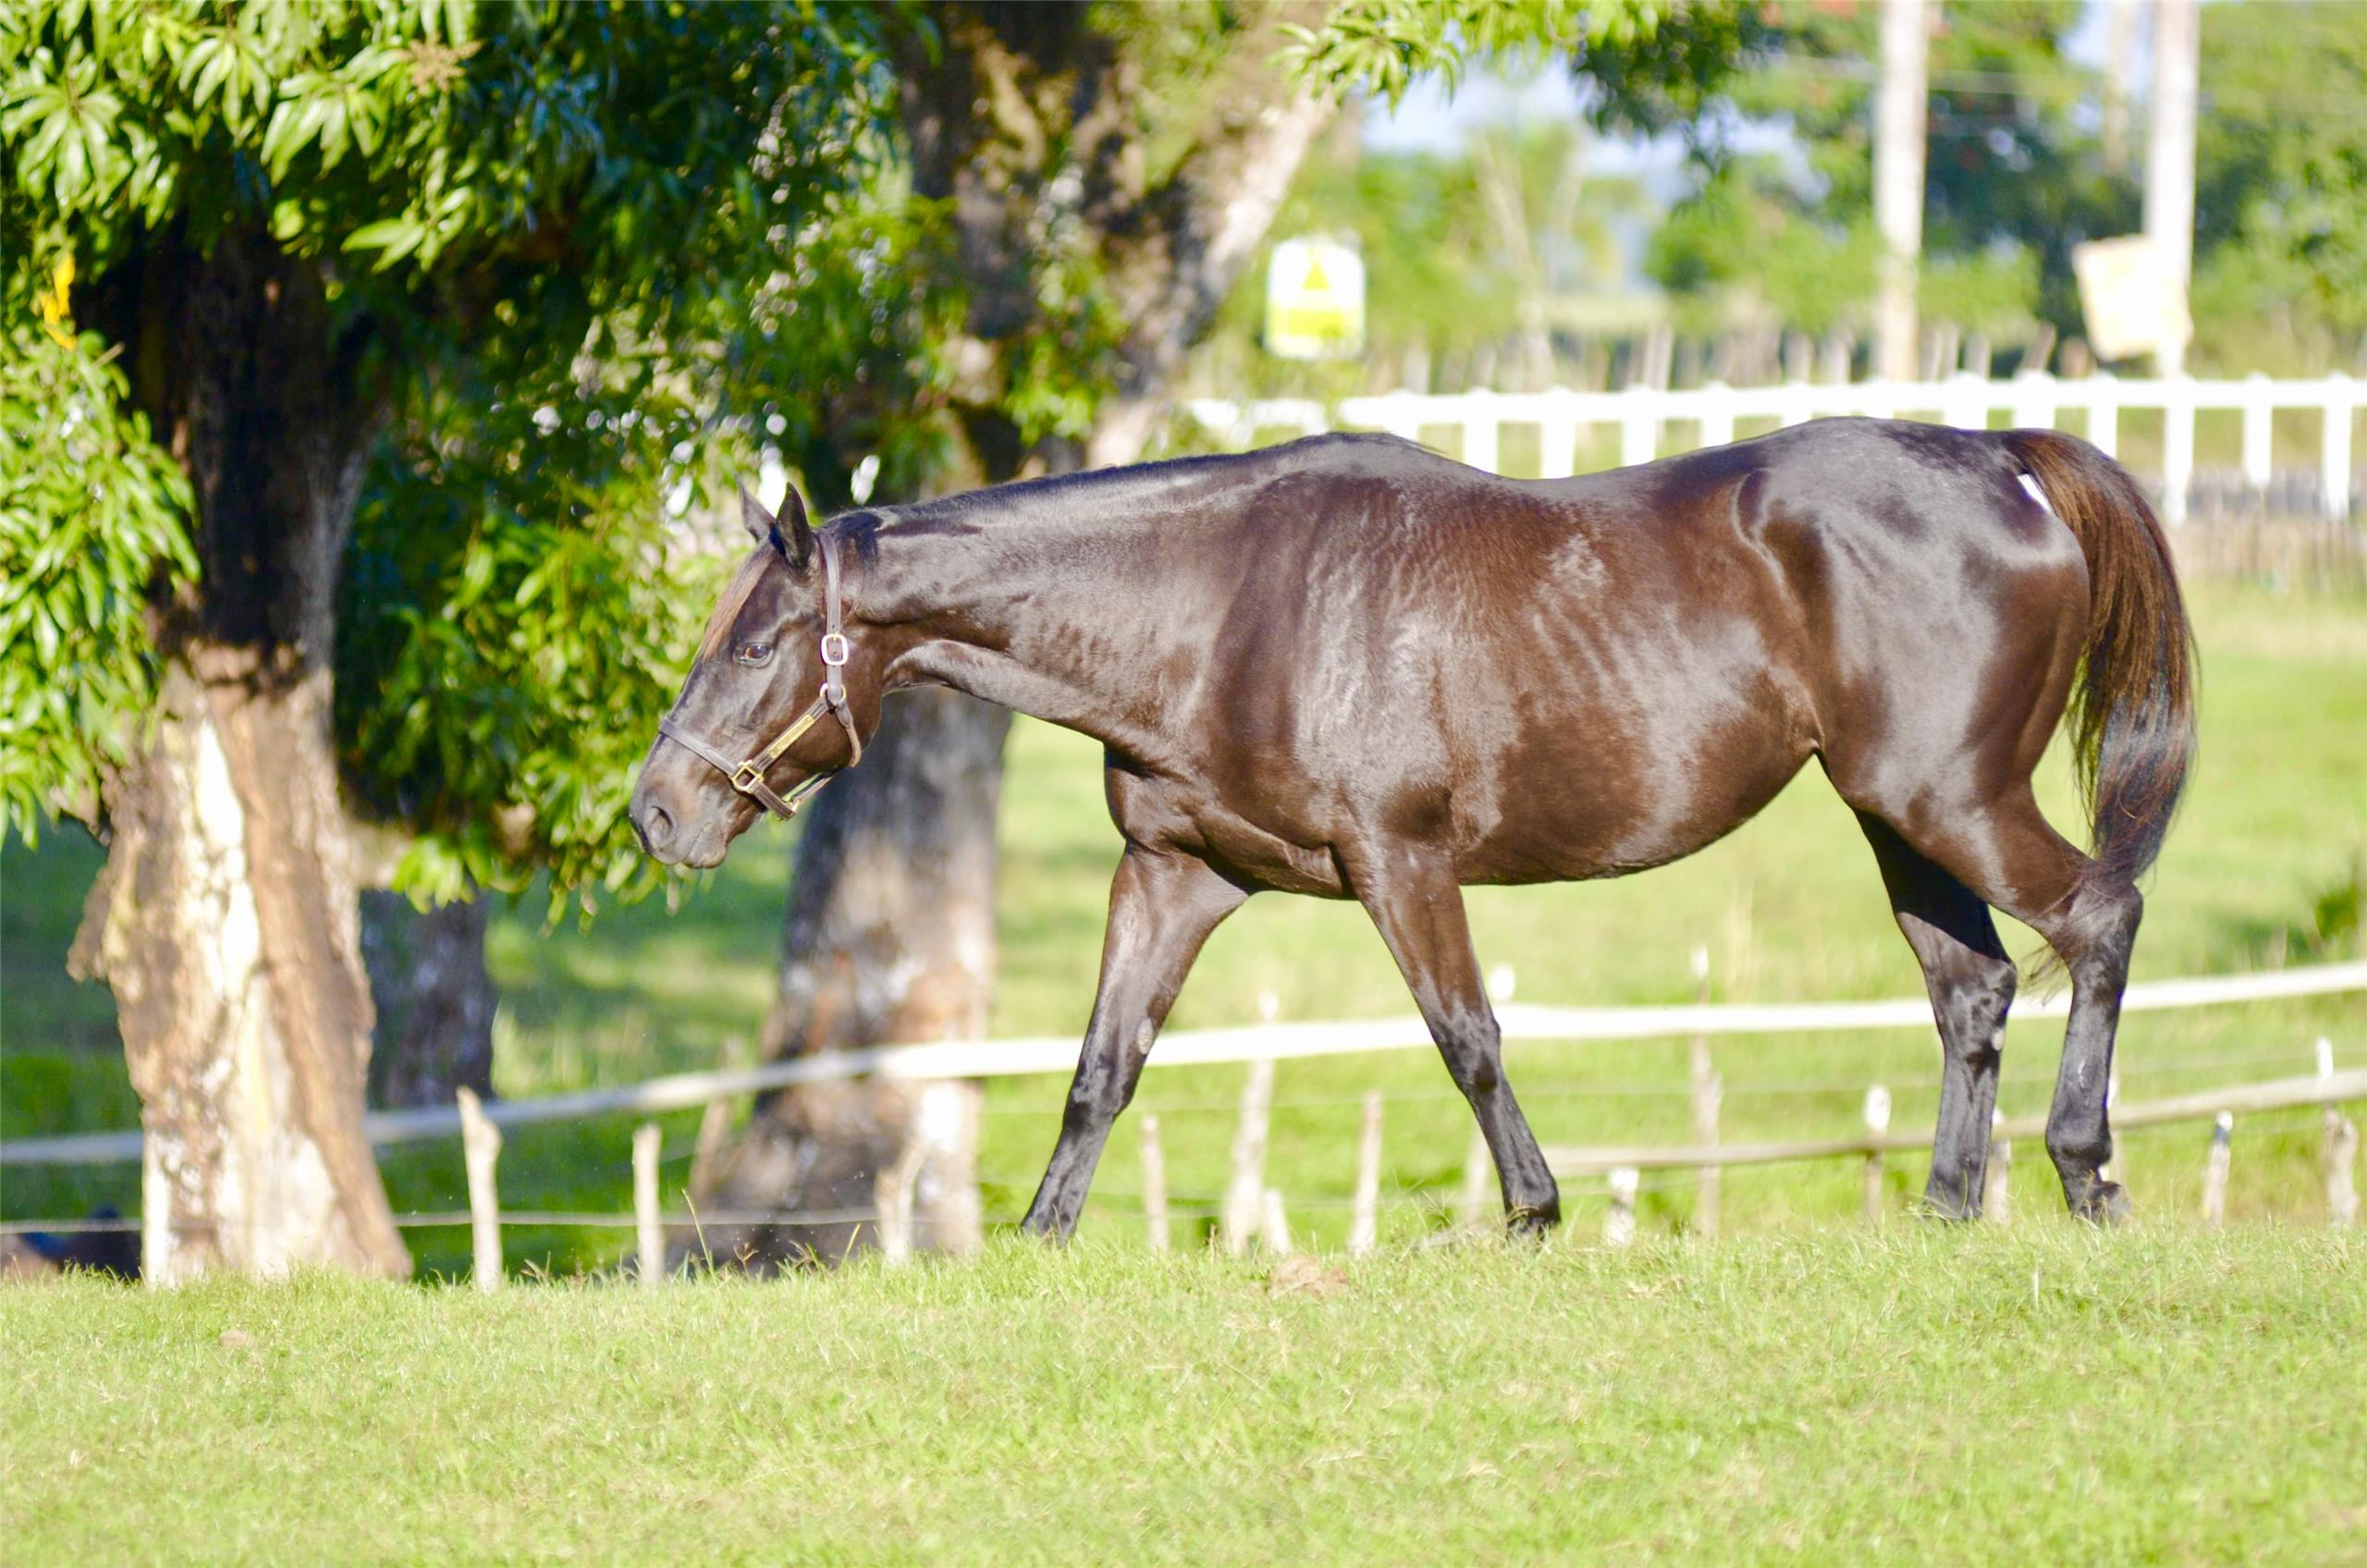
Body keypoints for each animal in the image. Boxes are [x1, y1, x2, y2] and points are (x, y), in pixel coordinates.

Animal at [631, 418, 2195, 1238]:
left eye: (757, 644)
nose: (656, 812)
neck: (1224, 604)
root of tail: (2000, 463)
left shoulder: (1403, 864)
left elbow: (1468, 1040)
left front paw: (1535, 1217)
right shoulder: (1175, 877)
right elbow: (1099, 1071)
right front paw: (1039, 1241)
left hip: (1954, 802)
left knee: (2099, 921)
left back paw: (2086, 1174)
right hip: (1900, 819)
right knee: (1973, 988)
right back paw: (1946, 1213)